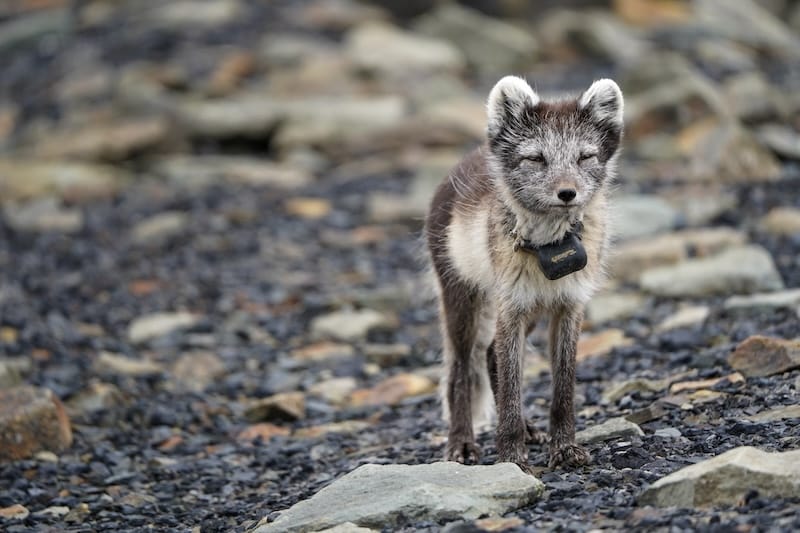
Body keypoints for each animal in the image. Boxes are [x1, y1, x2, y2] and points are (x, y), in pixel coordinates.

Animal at [424, 76, 624, 470]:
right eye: (536, 158)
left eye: (584, 157)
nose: (567, 193)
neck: (550, 244)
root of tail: (464, 162)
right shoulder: (511, 309)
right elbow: (511, 390)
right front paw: (512, 457)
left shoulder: (568, 306)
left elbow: (563, 389)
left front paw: (564, 447)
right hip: (464, 301)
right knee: (461, 370)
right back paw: (461, 443)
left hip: (528, 310)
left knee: (489, 355)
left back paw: (528, 428)